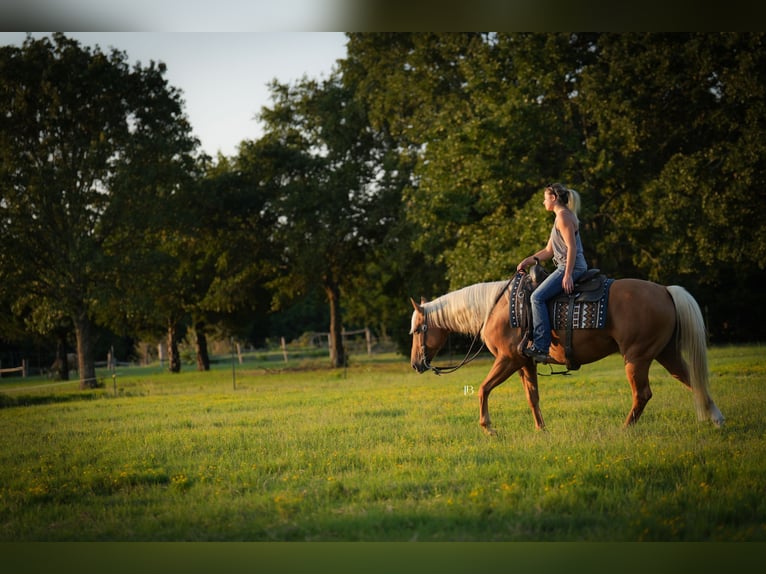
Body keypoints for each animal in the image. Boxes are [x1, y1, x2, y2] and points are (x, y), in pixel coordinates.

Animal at [409, 274, 725, 435]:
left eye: (416, 330)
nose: (415, 364)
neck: (494, 308)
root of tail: (665, 290)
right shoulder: (524, 362)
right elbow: (532, 397)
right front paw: (541, 429)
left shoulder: (508, 359)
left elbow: (483, 389)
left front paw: (488, 428)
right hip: (665, 353)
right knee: (692, 380)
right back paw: (717, 419)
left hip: (636, 357)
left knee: (643, 394)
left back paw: (624, 428)